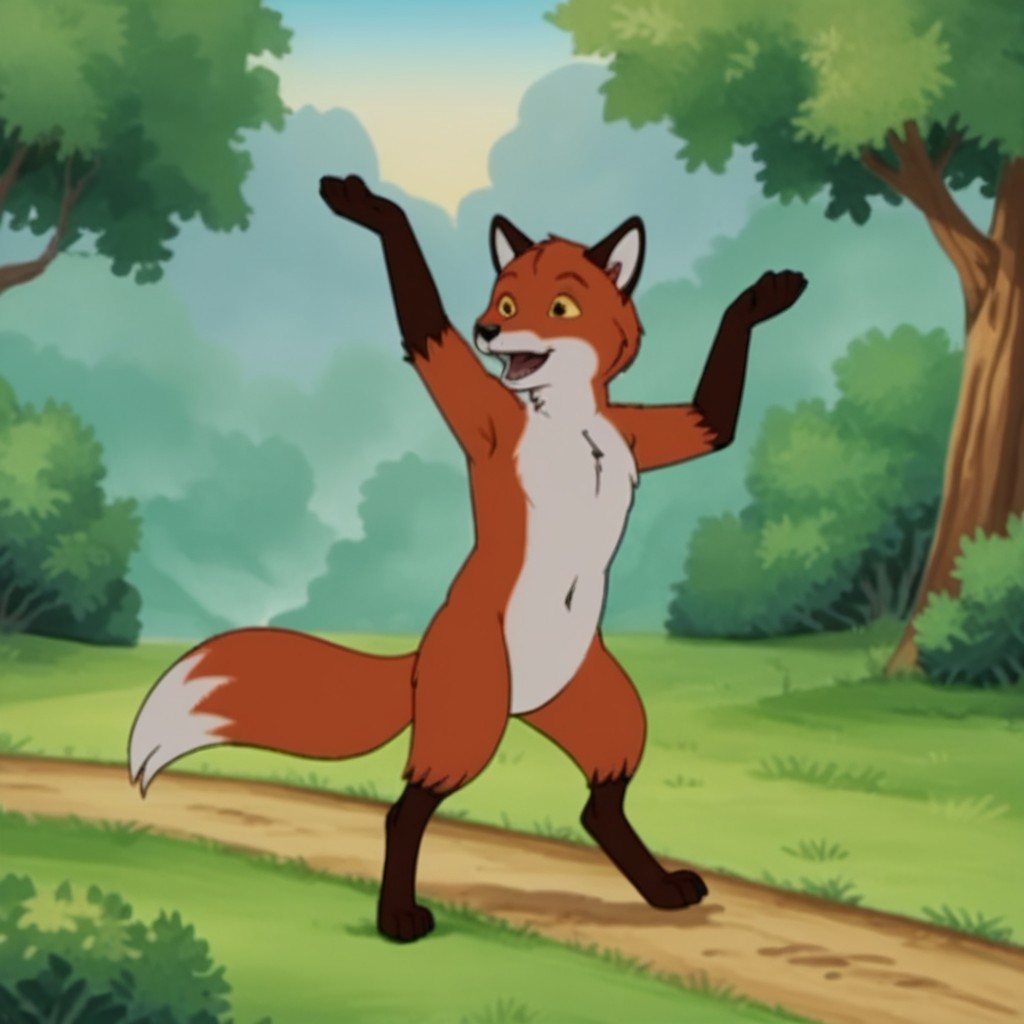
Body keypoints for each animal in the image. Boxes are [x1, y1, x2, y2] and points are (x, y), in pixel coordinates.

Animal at [128, 173, 807, 943]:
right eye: (502, 302)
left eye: (558, 307)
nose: (486, 330)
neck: (573, 424)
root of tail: (426, 659)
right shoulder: (483, 413)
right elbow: (426, 326)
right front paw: (374, 209)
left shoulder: (640, 430)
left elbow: (714, 423)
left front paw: (759, 299)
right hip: (472, 713)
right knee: (407, 810)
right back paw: (398, 918)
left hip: (604, 707)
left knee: (598, 804)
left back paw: (660, 891)